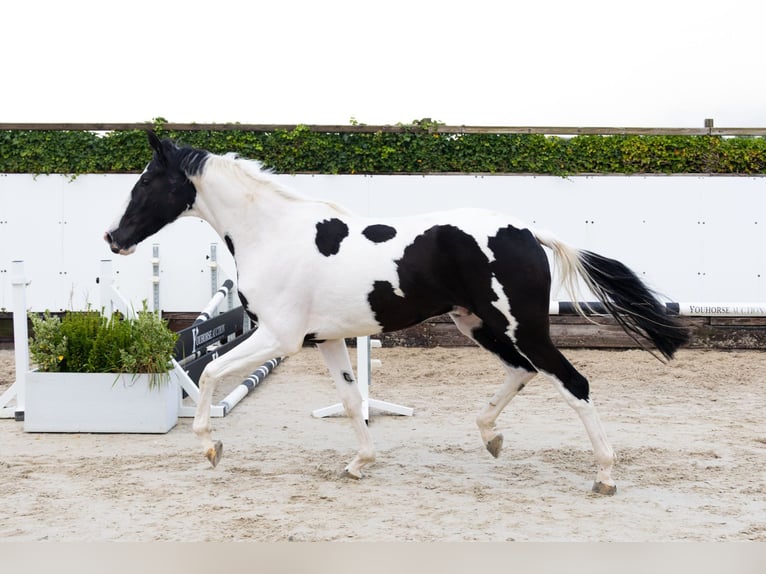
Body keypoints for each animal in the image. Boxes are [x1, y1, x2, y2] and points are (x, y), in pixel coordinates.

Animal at [105, 131, 689, 495]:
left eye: (145, 183)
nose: (113, 238)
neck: (272, 234)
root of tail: (527, 232)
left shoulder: (279, 337)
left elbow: (209, 374)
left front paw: (210, 447)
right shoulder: (325, 339)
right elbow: (350, 399)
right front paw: (359, 464)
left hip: (519, 325)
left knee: (572, 382)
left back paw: (604, 476)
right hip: (476, 323)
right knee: (521, 372)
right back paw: (491, 437)